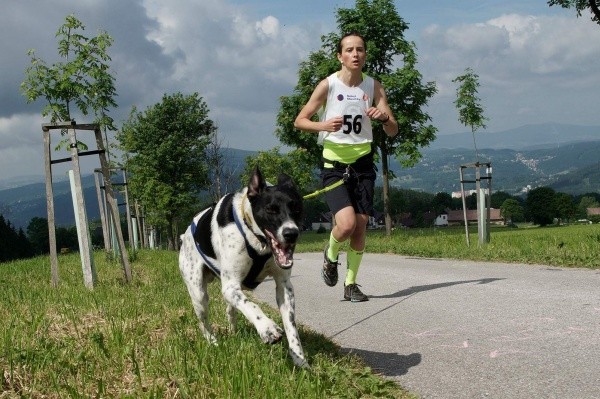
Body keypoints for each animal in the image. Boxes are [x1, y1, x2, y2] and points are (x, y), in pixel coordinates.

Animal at [178, 166, 308, 368]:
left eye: (296, 208)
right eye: (270, 209)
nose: (291, 233)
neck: (258, 240)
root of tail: (184, 236)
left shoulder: (284, 286)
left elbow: (291, 326)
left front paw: (299, 359)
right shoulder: (230, 286)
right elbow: (251, 305)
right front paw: (267, 328)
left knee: (231, 309)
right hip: (198, 293)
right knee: (204, 321)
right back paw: (212, 341)